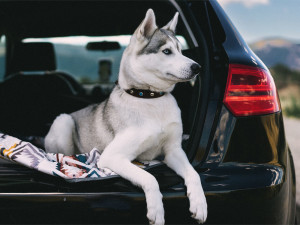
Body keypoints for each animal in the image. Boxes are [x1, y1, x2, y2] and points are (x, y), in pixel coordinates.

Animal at [45, 8, 206, 225]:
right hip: (64, 121)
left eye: (181, 50)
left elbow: (194, 174)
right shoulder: (113, 157)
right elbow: (150, 178)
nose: (197, 67)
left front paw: (199, 204)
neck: (150, 99)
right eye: (166, 51)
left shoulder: (173, 151)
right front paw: (156, 210)